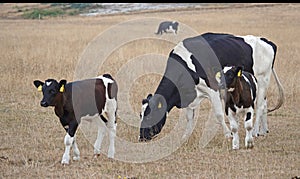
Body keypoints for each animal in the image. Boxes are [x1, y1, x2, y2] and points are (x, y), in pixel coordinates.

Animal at [138, 31, 284, 141]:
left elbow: (219, 114)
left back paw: (254, 132)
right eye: (140, 115)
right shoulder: (188, 93)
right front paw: (185, 137)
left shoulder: (213, 89)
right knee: (264, 103)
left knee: (259, 106)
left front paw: (228, 134)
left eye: (149, 116)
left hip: (262, 78)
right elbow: (189, 118)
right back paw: (263, 130)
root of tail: (266, 41)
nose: (142, 137)